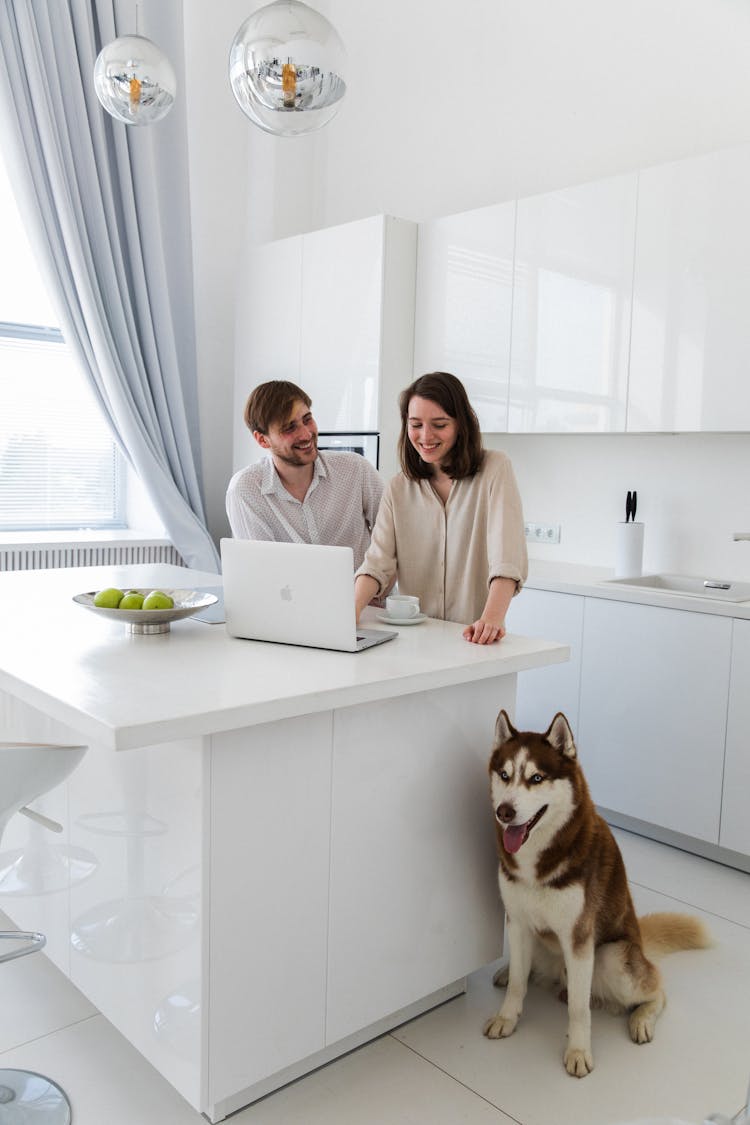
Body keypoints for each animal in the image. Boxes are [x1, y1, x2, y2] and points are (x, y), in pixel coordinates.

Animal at [483, 711, 715, 1080]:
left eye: (536, 777)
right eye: (505, 775)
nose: (504, 811)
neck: (538, 862)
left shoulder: (579, 938)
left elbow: (579, 1009)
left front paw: (578, 1052)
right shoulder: (517, 922)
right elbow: (520, 983)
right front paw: (507, 1017)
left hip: (612, 958)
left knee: (657, 989)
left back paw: (641, 1019)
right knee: (527, 969)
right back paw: (508, 972)